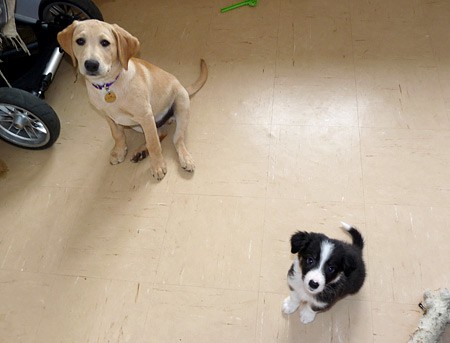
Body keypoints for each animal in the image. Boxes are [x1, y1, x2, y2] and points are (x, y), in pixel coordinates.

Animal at [56, 19, 209, 181]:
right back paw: (141, 152)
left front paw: (158, 166)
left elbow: (154, 144)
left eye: (105, 43)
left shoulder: (145, 116)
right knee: (160, 133)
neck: (108, 85)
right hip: (138, 125)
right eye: (80, 41)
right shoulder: (109, 117)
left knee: (176, 139)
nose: (91, 64)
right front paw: (119, 151)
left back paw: (185, 158)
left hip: (181, 105)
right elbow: (118, 135)